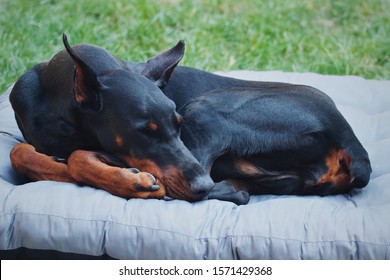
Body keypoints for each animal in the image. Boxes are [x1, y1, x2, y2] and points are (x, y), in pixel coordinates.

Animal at [9, 35, 370, 206]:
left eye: (178, 126)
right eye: (144, 131)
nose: (201, 185)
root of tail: (348, 135)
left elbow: (78, 157)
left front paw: (128, 181)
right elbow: (19, 152)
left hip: (208, 109)